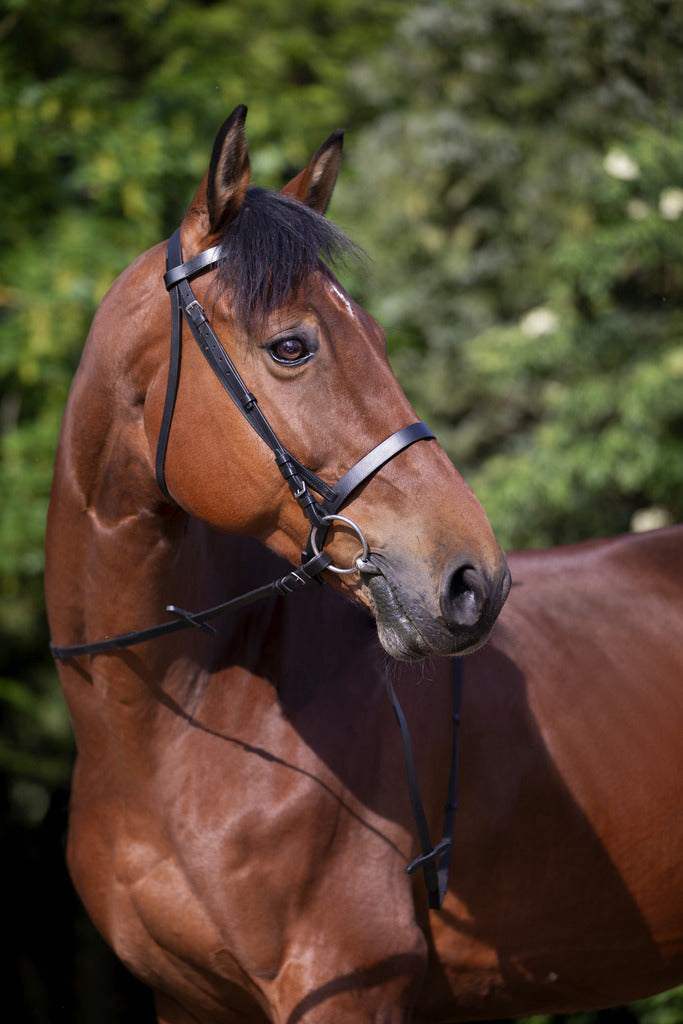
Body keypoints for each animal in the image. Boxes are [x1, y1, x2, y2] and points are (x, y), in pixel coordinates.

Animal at [45, 105, 679, 1024]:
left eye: (377, 338)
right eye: (290, 346)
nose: (472, 581)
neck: (170, 730)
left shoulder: (346, 988)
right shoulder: (188, 1002)